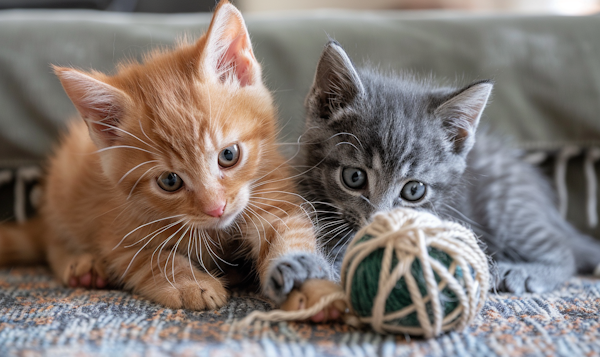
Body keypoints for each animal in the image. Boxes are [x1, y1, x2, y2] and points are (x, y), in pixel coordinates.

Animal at [0, 0, 332, 308]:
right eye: (170, 181)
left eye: (229, 155)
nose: (216, 208)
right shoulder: (118, 234)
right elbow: (155, 259)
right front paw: (191, 284)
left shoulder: (276, 196)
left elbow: (292, 238)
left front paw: (310, 286)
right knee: (52, 240)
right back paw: (82, 263)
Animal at [298, 40, 600, 294]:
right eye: (354, 176)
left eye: (414, 191)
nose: (377, 222)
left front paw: (309, 267)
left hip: (505, 208)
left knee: (562, 251)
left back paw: (523, 271)